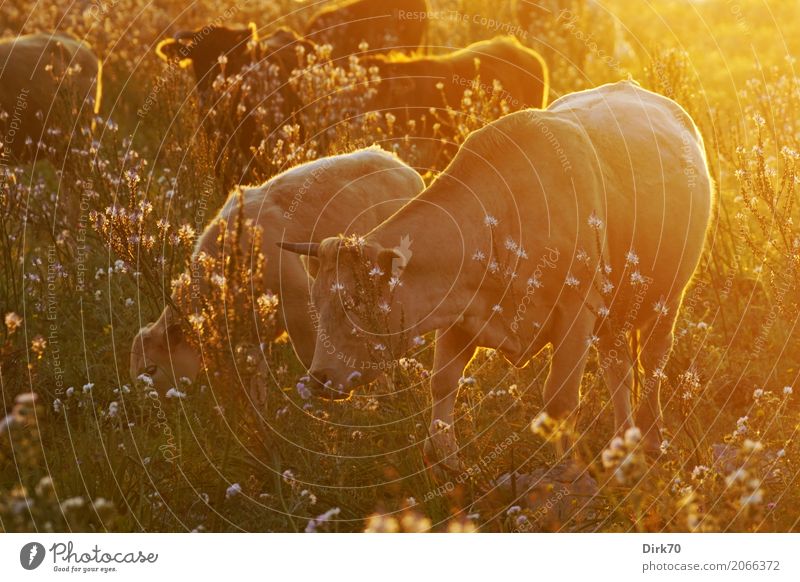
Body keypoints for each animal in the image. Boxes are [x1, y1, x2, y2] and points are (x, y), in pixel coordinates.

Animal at [280, 82, 712, 472]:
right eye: (316, 302)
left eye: (354, 304)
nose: (318, 379)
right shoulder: (458, 315)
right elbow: (442, 383)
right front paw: (446, 464)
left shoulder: (577, 313)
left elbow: (559, 400)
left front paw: (568, 474)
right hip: (616, 312)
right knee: (617, 366)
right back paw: (624, 443)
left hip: (666, 300)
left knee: (652, 361)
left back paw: (651, 441)